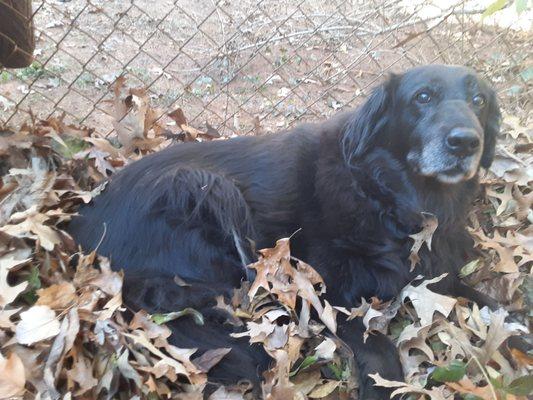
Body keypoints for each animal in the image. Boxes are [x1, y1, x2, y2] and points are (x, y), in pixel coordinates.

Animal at [69, 64, 498, 398]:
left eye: (479, 101)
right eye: (423, 97)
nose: (466, 142)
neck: (384, 192)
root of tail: (82, 228)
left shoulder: (435, 272)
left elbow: (487, 301)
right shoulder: (331, 290)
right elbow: (381, 352)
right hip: (205, 188)